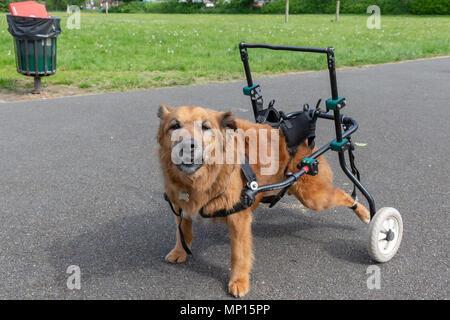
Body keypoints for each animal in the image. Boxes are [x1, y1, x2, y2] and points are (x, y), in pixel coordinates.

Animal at [156, 104, 368, 298]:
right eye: (174, 126)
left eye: (205, 127)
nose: (187, 146)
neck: (200, 179)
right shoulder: (179, 206)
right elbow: (183, 232)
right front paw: (179, 252)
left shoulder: (238, 219)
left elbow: (239, 254)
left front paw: (239, 281)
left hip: (313, 197)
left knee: (343, 194)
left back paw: (365, 213)